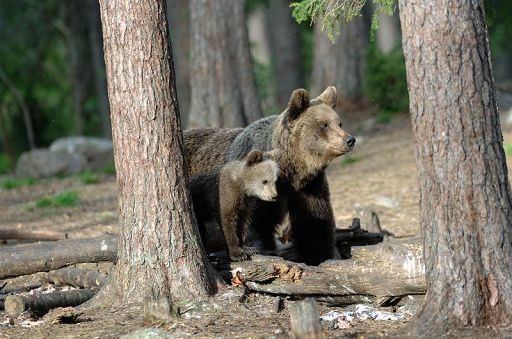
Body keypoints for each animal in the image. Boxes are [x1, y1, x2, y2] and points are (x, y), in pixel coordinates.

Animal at [184, 87, 356, 266]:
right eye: (324, 124)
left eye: (339, 123)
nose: (350, 140)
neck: (291, 171)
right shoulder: (255, 190)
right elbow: (256, 223)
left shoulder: (309, 187)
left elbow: (314, 223)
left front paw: (319, 255)